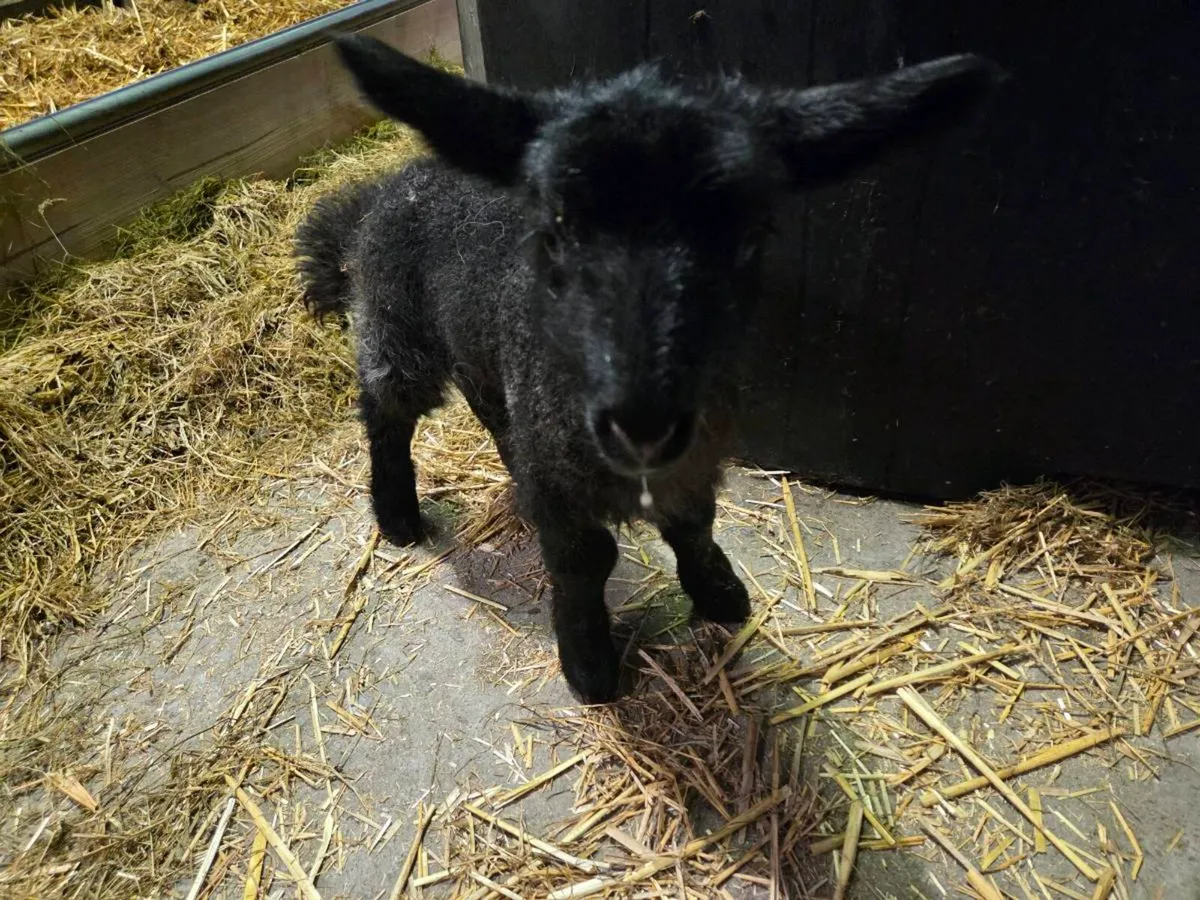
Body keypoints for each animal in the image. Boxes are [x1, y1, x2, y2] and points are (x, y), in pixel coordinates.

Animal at [295, 36, 999, 703]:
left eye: (749, 234)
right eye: (557, 229)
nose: (642, 423)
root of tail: (389, 184)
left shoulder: (689, 455)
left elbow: (693, 524)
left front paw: (718, 593)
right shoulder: (567, 468)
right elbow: (583, 558)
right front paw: (588, 663)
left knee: (487, 402)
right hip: (398, 320)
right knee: (386, 408)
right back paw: (397, 515)